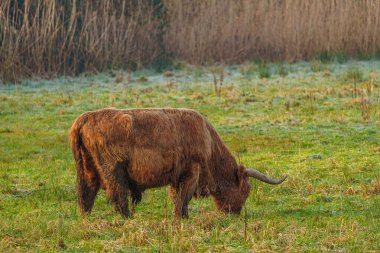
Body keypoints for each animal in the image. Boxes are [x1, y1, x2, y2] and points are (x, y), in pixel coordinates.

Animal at [70, 107, 284, 218]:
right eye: (246, 190)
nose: (235, 213)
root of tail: (85, 118)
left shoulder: (177, 175)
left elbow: (177, 197)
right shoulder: (192, 171)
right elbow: (184, 197)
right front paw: (183, 217)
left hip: (88, 168)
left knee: (86, 193)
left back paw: (85, 217)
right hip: (113, 169)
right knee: (117, 194)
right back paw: (128, 217)